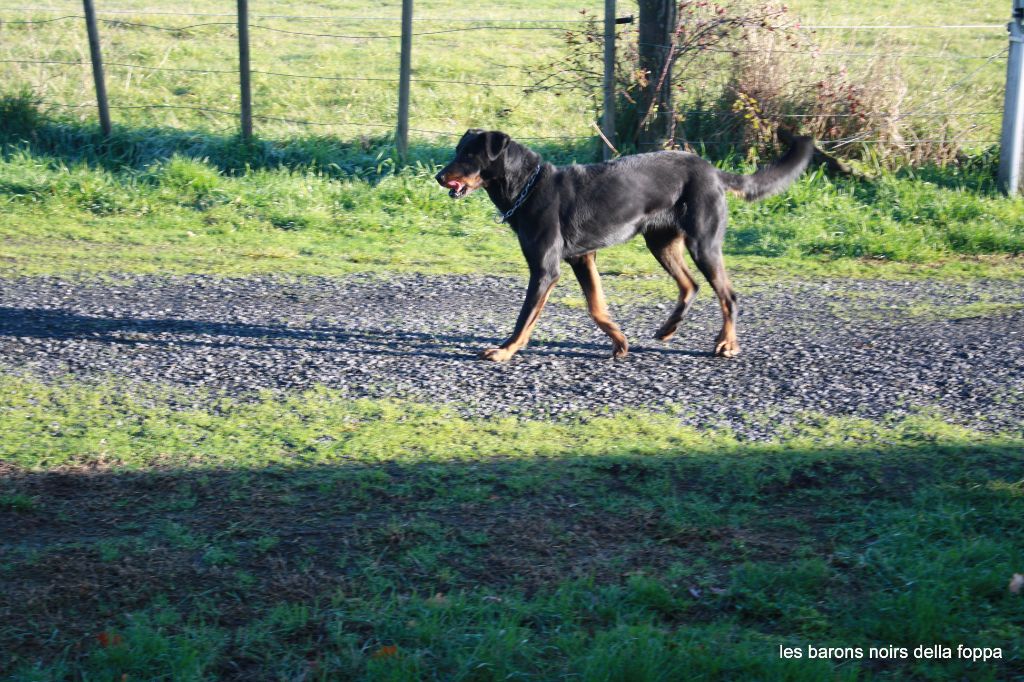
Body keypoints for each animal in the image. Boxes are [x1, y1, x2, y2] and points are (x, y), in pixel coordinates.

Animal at [436, 129, 811, 360]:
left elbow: (525, 317)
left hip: (703, 244)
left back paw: (727, 343)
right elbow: (597, 307)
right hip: (661, 243)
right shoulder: (582, 259)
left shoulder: (545, 269)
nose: (439, 177)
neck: (527, 185)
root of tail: (713, 170)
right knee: (690, 286)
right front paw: (619, 341)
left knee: (728, 295)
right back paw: (668, 329)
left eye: (469, 155)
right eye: (457, 151)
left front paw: (505, 350)